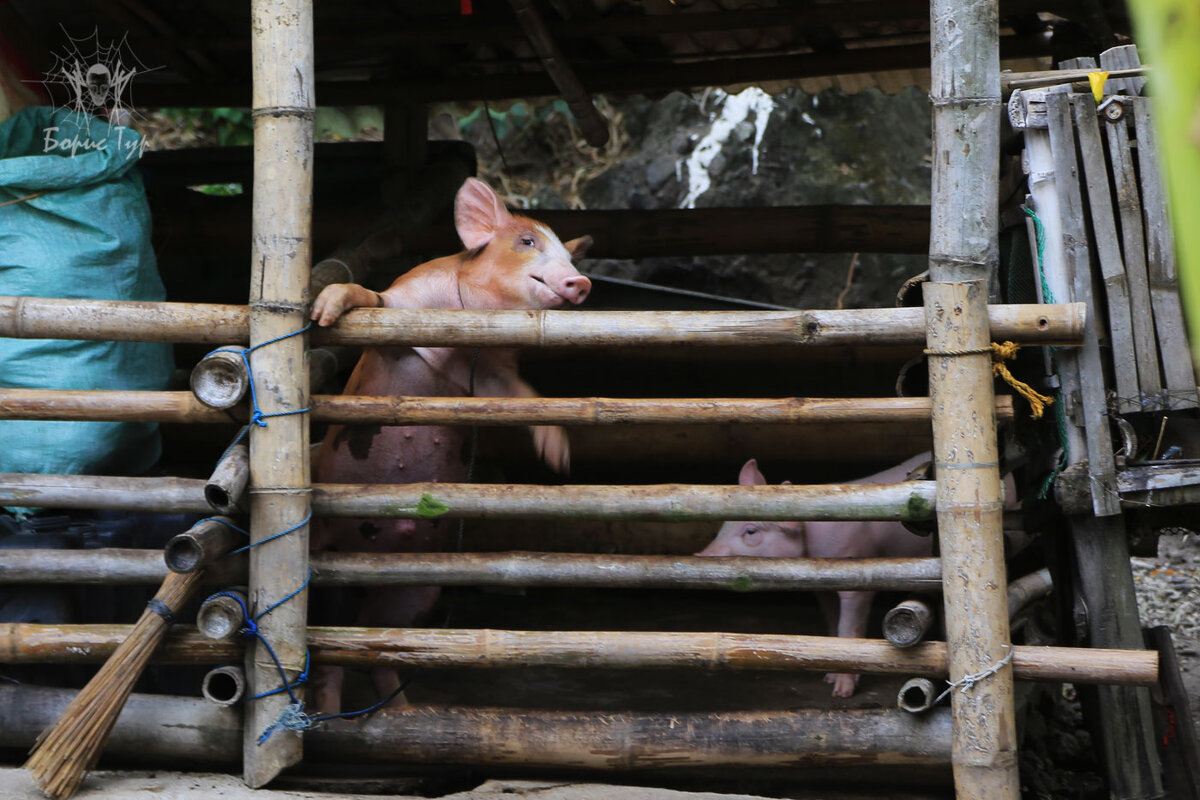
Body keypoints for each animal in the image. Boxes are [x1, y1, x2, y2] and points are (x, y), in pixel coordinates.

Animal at [307, 178, 592, 714]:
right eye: (526, 241)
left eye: (569, 253)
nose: (581, 282)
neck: (463, 339)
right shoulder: (400, 308)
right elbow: (369, 297)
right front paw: (324, 313)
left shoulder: (494, 374)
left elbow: (524, 394)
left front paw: (559, 455)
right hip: (327, 567)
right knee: (332, 656)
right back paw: (332, 715)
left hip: (422, 589)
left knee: (378, 648)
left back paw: (403, 712)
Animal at [696, 453, 936, 695]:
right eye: (725, 525)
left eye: (751, 531)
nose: (700, 554)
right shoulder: (824, 589)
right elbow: (832, 622)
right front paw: (828, 678)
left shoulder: (859, 579)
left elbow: (848, 628)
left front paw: (841, 692)